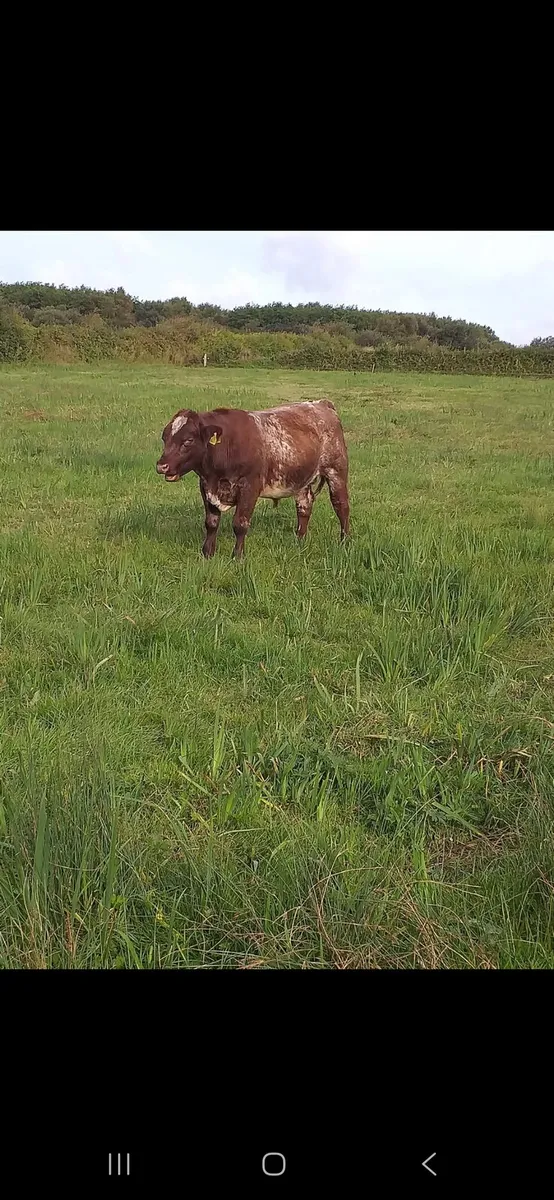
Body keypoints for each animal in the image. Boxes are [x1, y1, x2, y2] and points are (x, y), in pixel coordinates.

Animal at [156, 398, 350, 559]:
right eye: (165, 438)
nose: (161, 466)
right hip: (302, 478)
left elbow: (240, 524)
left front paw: (237, 556)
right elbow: (211, 522)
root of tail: (321, 403)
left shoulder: (249, 486)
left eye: (188, 440)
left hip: (336, 470)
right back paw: (300, 540)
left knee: (341, 505)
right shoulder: (205, 486)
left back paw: (344, 541)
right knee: (304, 506)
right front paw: (207, 553)